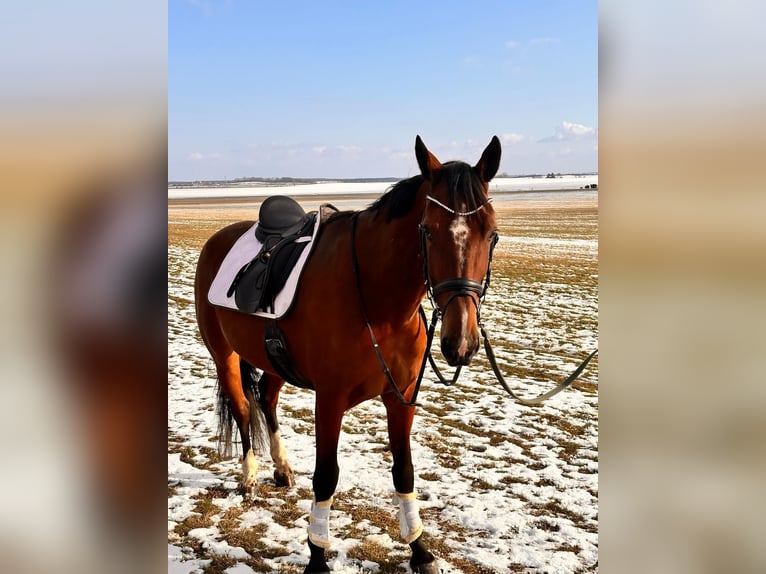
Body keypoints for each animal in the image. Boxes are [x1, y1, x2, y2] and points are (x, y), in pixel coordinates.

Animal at [195, 136, 500, 574]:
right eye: (427, 230)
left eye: (491, 234)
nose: (460, 342)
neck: (378, 301)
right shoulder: (330, 399)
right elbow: (327, 475)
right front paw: (317, 556)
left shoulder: (401, 397)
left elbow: (404, 472)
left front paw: (419, 549)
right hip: (224, 355)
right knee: (241, 407)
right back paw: (249, 476)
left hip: (274, 361)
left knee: (266, 400)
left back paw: (282, 468)